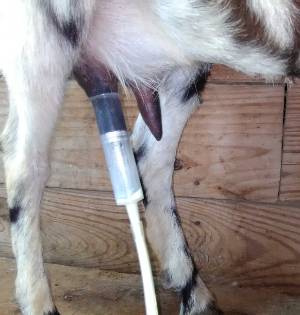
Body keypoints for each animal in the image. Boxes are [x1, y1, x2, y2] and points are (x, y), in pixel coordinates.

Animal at [0, 0, 298, 315]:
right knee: (24, 163)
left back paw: (194, 295)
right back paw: (39, 303)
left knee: (149, 158)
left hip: (185, 65)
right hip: (42, 41)